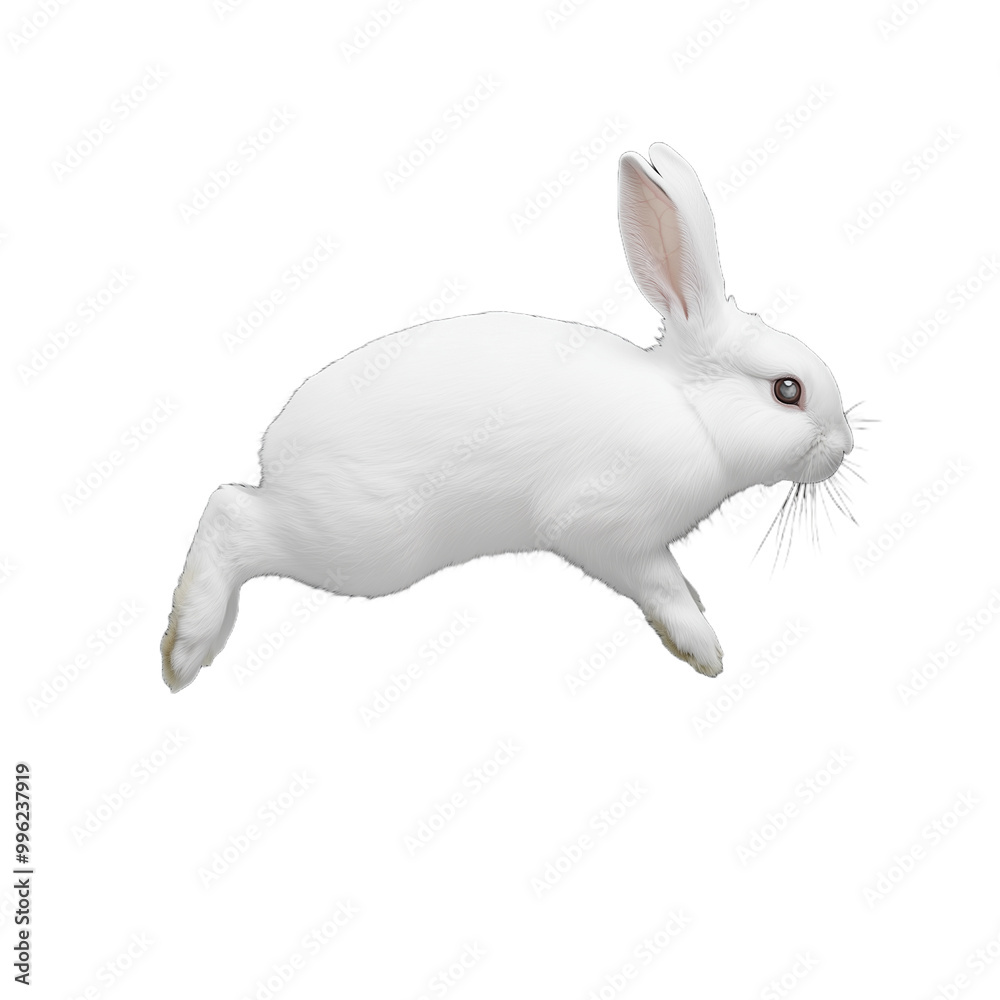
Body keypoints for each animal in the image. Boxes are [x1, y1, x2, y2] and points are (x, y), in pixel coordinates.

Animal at [161, 142, 853, 693]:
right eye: (787, 391)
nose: (844, 446)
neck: (690, 410)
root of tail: (277, 454)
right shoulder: (607, 531)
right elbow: (660, 586)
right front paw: (702, 648)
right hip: (361, 542)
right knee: (229, 512)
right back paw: (185, 649)